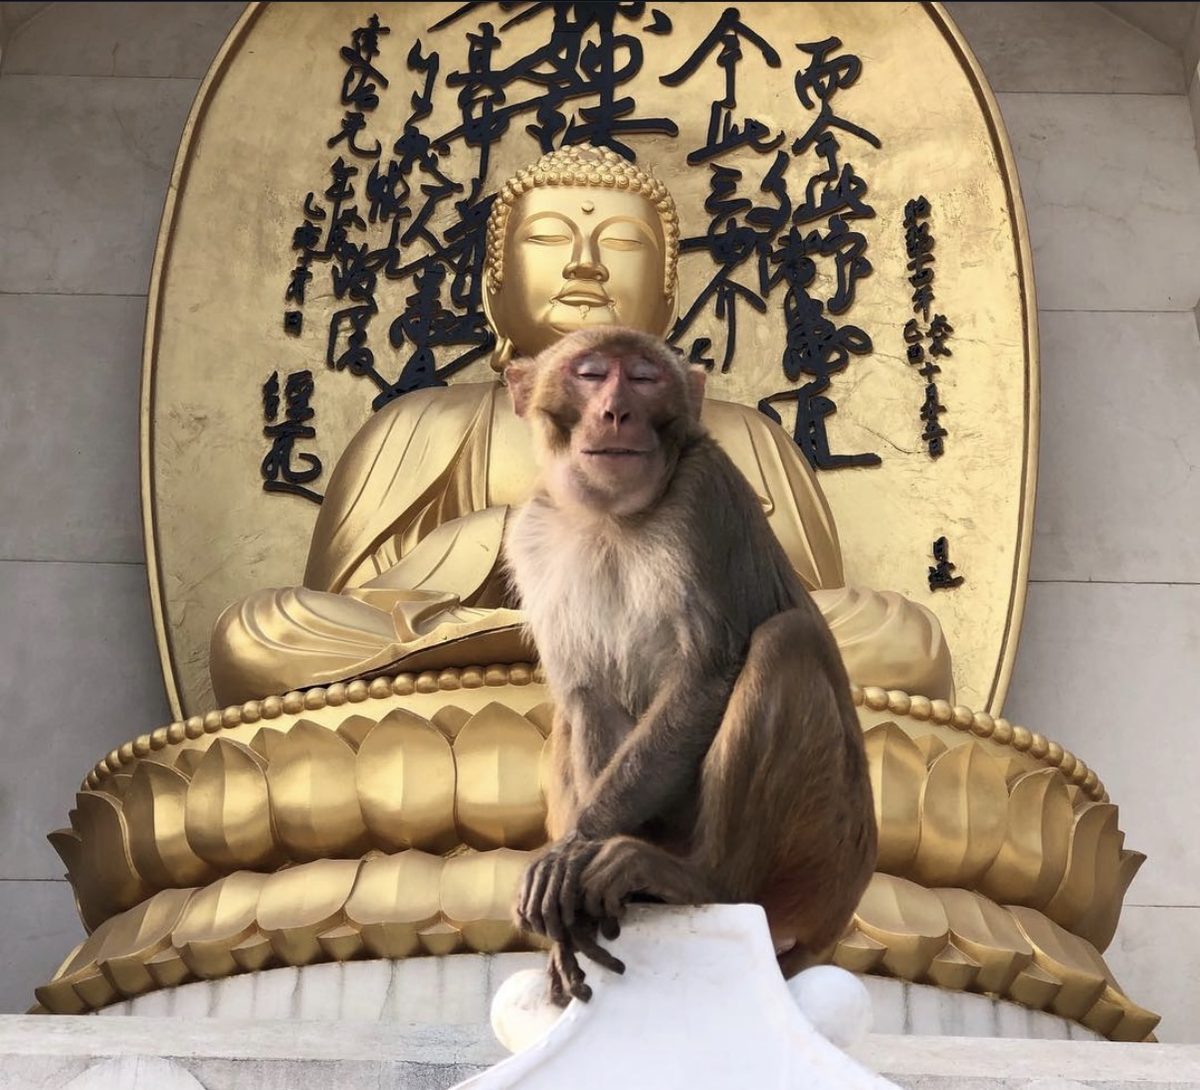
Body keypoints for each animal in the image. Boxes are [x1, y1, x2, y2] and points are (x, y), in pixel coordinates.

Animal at [503, 326, 877, 1006]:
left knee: (786, 643)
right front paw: (570, 884)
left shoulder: (706, 491)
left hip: (825, 860)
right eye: (590, 374)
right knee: (568, 715)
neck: (613, 518)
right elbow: (587, 696)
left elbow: (707, 670)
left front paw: (572, 853)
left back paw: (703, 881)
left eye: (644, 378)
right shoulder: (532, 534)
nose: (616, 411)